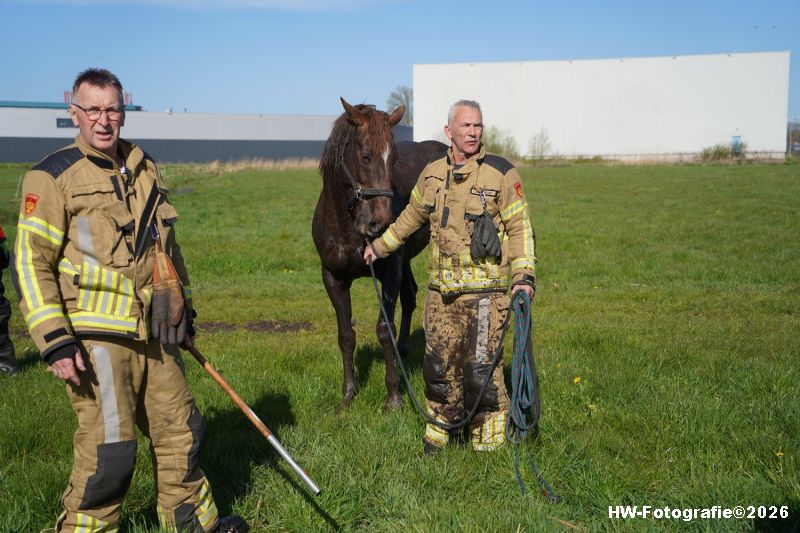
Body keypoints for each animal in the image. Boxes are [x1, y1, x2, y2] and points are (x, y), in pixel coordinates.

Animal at [312, 98, 447, 411]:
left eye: (393, 158)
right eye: (365, 157)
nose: (381, 223)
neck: (348, 227)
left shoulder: (389, 272)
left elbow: (385, 330)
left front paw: (394, 397)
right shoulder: (333, 278)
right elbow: (346, 335)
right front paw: (348, 394)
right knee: (410, 295)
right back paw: (404, 348)